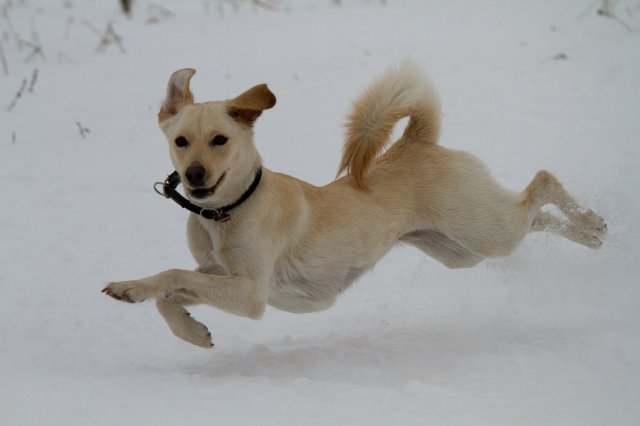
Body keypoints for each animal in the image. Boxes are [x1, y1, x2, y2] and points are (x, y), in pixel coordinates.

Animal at [102, 64, 608, 350]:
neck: (227, 213)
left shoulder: (250, 293)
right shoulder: (216, 274)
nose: (194, 176)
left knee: (542, 182)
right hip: (459, 249)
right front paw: (186, 327)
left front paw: (145, 296)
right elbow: (169, 290)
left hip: (485, 231)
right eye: (181, 141)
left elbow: (171, 275)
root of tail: (414, 141)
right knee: (536, 216)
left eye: (220, 140)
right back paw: (588, 233)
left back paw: (591, 224)